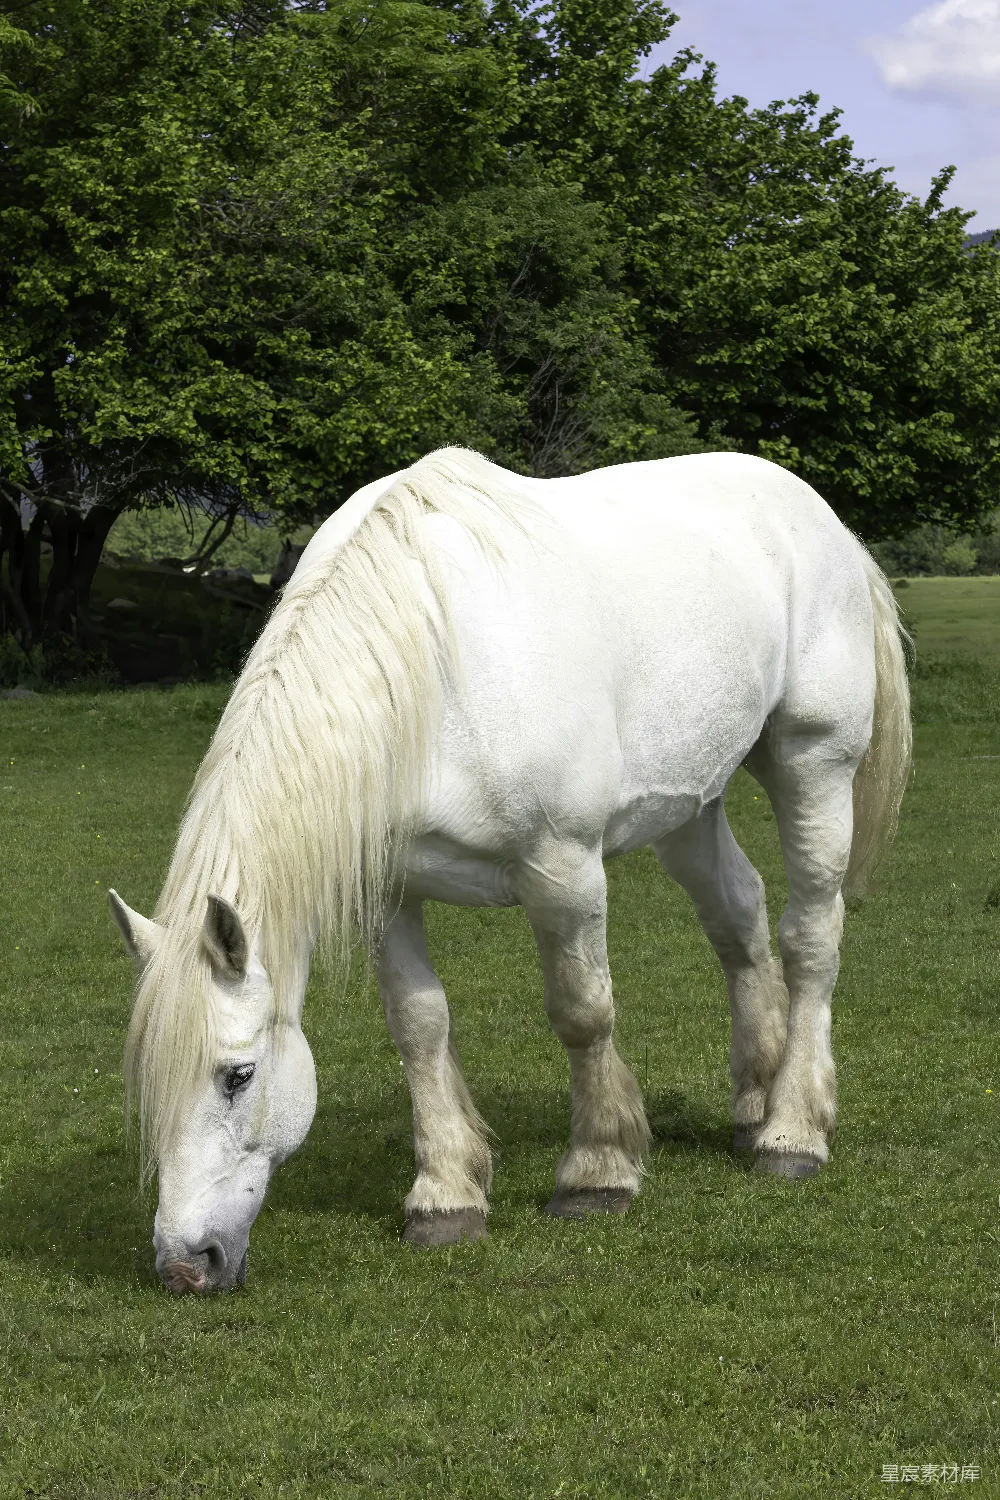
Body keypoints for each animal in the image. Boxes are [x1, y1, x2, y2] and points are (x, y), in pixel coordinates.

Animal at [110, 446, 911, 1294]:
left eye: (238, 1075)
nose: (186, 1263)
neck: (432, 668)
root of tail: (822, 516)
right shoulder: (388, 893)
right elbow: (419, 1027)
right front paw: (445, 1195)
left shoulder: (563, 869)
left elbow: (582, 1013)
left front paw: (597, 1171)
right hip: (692, 804)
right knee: (740, 916)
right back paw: (756, 1101)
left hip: (812, 761)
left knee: (809, 933)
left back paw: (792, 1132)